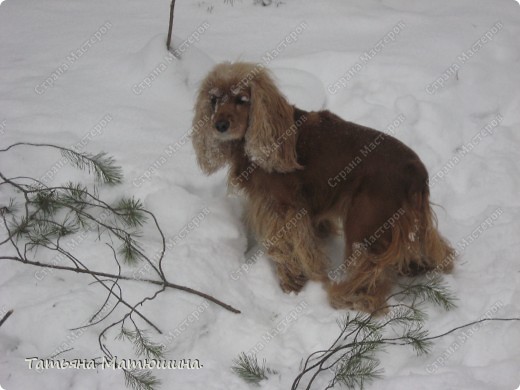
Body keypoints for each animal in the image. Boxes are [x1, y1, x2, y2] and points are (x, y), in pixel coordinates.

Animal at [192, 61, 456, 314]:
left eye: (241, 99)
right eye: (214, 99)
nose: (219, 125)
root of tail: (416, 170)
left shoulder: (281, 208)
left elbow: (287, 249)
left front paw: (292, 282)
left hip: (364, 223)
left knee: (370, 273)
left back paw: (348, 297)